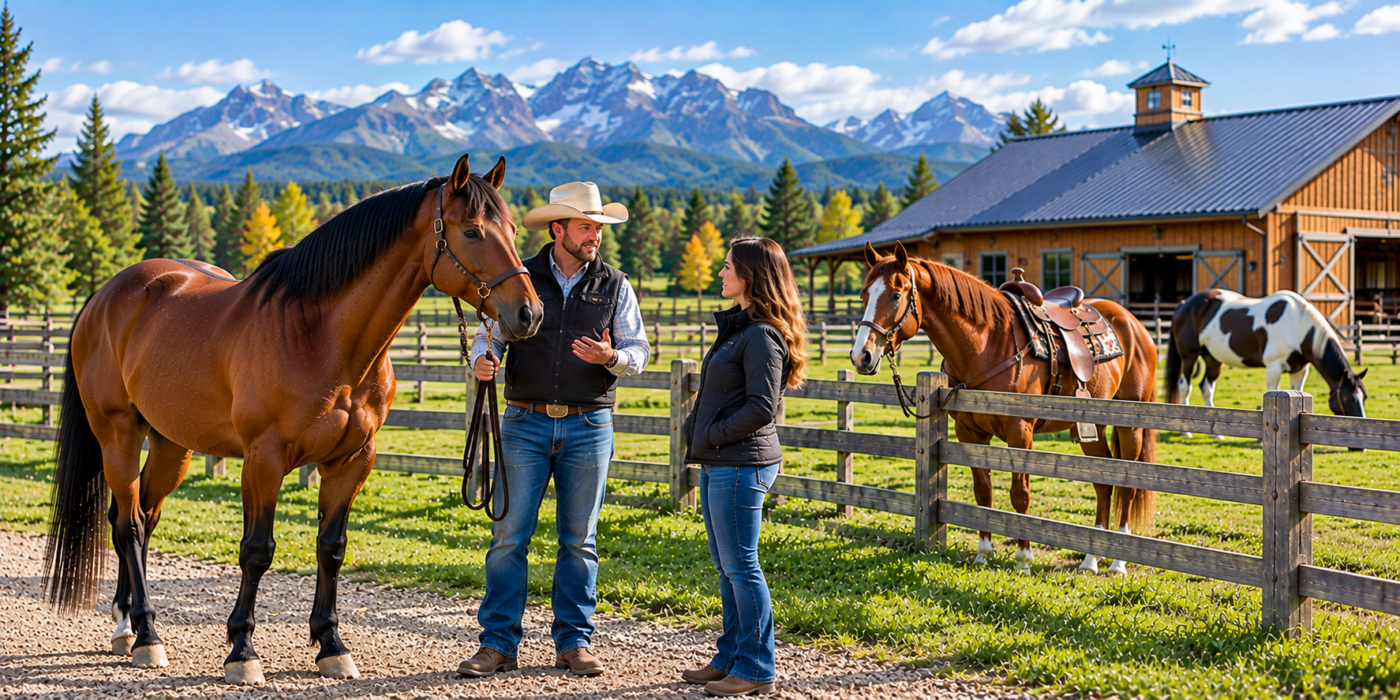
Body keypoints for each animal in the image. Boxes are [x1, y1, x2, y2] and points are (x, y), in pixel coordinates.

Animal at [41, 154, 542, 684]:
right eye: (472, 231)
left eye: (513, 229)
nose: (530, 313)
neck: (320, 334)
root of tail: (104, 297)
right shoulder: (264, 459)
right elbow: (257, 550)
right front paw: (242, 651)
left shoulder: (353, 460)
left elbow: (331, 548)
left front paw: (331, 644)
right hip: (116, 433)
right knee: (130, 525)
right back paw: (147, 635)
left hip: (171, 444)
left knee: (138, 516)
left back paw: (127, 627)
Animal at [850, 242, 1159, 575]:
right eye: (864, 295)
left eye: (896, 295)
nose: (860, 356)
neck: (987, 344)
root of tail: (1134, 324)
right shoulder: (970, 433)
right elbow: (983, 491)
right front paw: (983, 554)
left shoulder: (1019, 433)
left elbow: (1019, 495)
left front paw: (1023, 560)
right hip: (1094, 429)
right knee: (1104, 484)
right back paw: (1090, 560)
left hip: (1130, 425)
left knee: (1127, 487)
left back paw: (1117, 563)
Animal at [1166, 289, 1367, 440]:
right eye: (1348, 399)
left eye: (1364, 398)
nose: (1360, 446)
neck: (1297, 324)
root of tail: (1184, 304)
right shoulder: (1274, 366)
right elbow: (1272, 392)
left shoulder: (1300, 370)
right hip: (1189, 356)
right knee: (1185, 386)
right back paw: (1185, 431)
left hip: (1213, 359)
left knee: (1206, 388)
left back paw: (1215, 435)